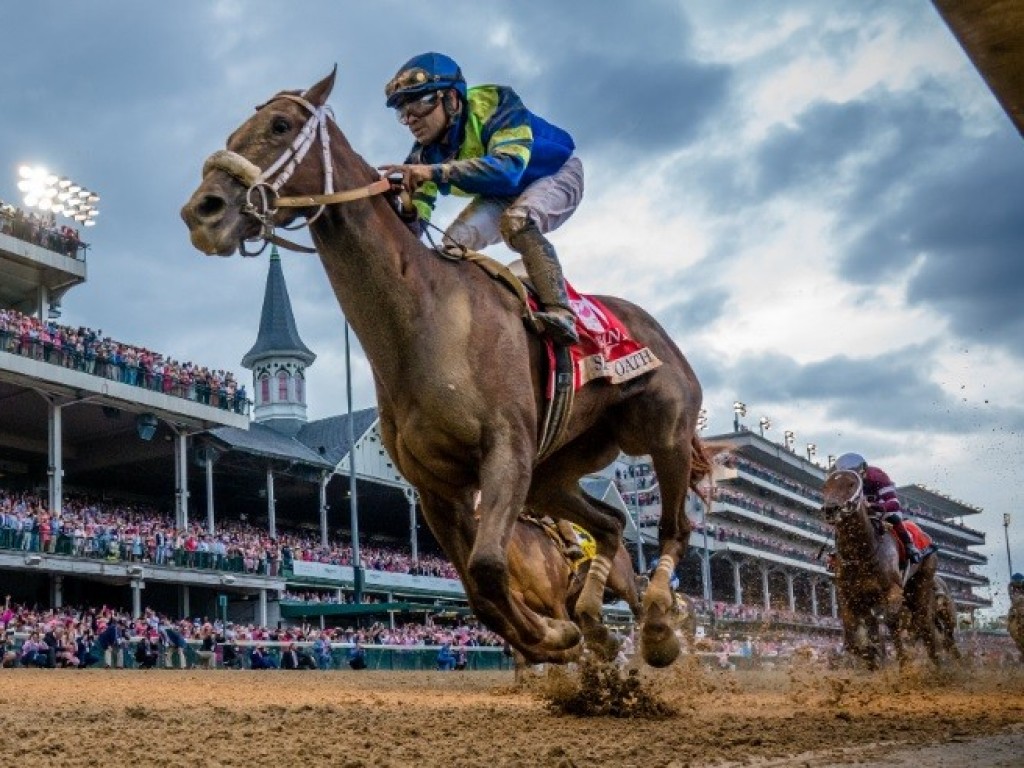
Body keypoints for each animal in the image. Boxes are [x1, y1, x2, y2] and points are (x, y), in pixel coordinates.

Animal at [182, 69, 712, 667]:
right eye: (234, 132)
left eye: (279, 125)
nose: (203, 210)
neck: (426, 322)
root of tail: (654, 329)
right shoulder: (436, 487)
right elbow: (482, 592)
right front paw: (561, 636)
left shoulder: (505, 450)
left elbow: (488, 567)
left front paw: (560, 635)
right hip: (554, 471)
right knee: (613, 523)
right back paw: (599, 622)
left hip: (661, 431)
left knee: (673, 528)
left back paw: (661, 623)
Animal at [823, 468, 942, 667]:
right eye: (825, 487)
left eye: (851, 484)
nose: (830, 509)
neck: (861, 554)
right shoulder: (849, 597)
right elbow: (851, 638)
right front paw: (871, 654)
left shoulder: (892, 591)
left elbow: (889, 623)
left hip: (922, 582)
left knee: (923, 625)